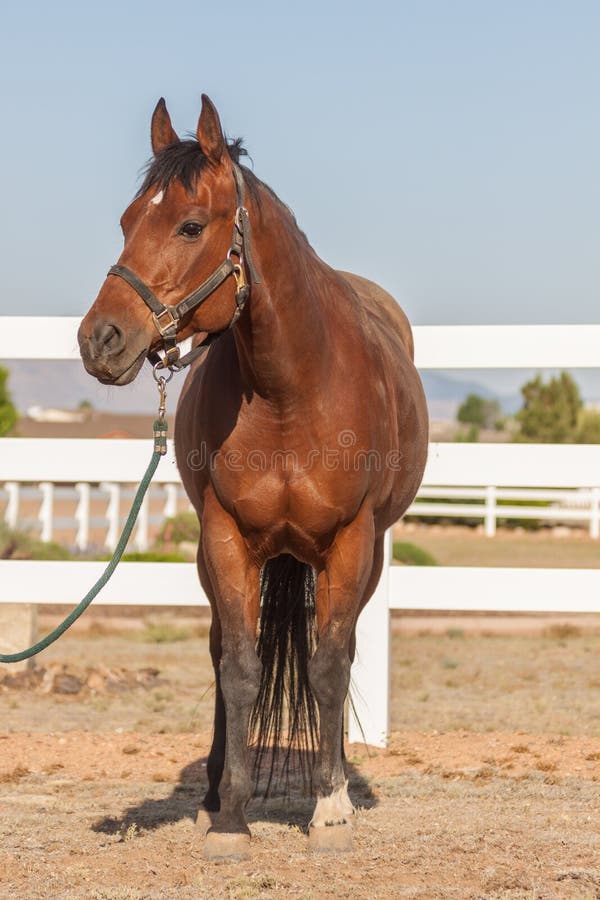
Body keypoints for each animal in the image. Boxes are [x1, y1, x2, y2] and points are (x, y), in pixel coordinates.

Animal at [78, 94, 428, 858]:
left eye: (189, 224)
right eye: (125, 220)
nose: (99, 340)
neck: (289, 390)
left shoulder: (352, 542)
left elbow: (329, 665)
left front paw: (330, 809)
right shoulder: (226, 537)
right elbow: (238, 668)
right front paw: (232, 818)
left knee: (339, 654)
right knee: (221, 655)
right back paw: (215, 795)